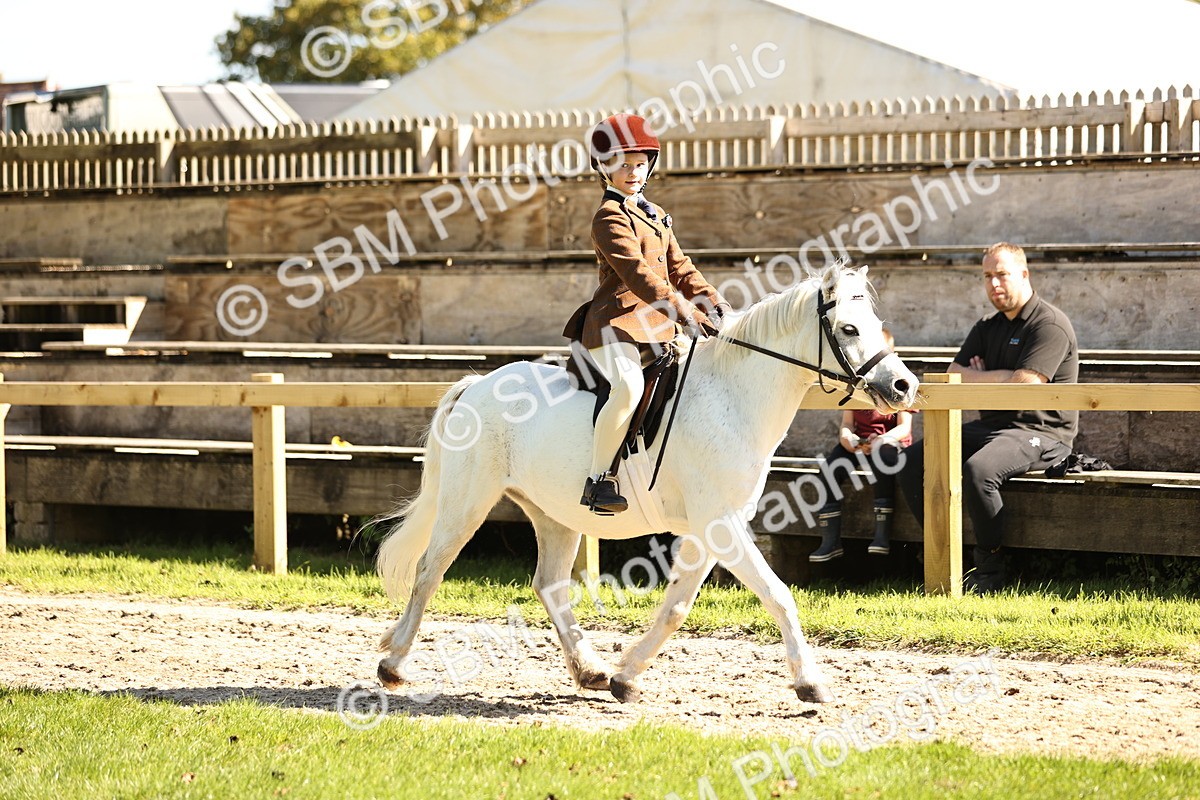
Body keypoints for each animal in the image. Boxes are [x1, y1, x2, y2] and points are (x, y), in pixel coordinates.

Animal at [375, 261, 920, 704]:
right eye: (849, 328)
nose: (904, 386)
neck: (733, 395)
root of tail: (479, 384)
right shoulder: (720, 523)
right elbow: (778, 594)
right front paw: (811, 682)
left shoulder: (711, 529)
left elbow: (677, 605)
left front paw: (626, 676)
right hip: (467, 502)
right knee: (430, 571)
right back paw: (393, 664)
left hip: (554, 514)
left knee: (549, 585)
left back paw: (591, 671)